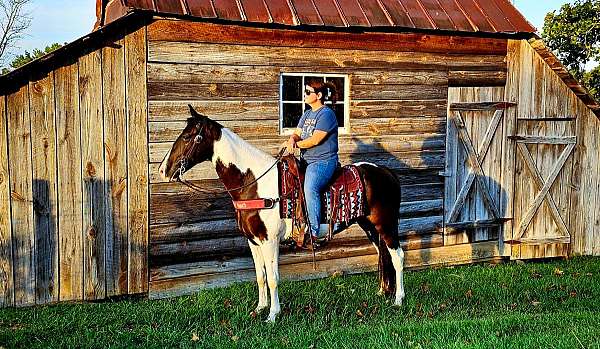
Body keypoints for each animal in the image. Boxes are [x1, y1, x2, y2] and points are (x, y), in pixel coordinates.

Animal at [157, 105, 406, 320]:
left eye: (187, 136)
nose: (162, 170)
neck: (254, 182)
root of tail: (387, 173)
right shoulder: (253, 241)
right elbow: (260, 276)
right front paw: (259, 308)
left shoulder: (270, 240)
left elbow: (273, 278)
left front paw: (273, 315)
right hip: (370, 226)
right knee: (383, 254)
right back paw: (383, 292)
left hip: (386, 224)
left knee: (397, 256)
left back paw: (398, 300)